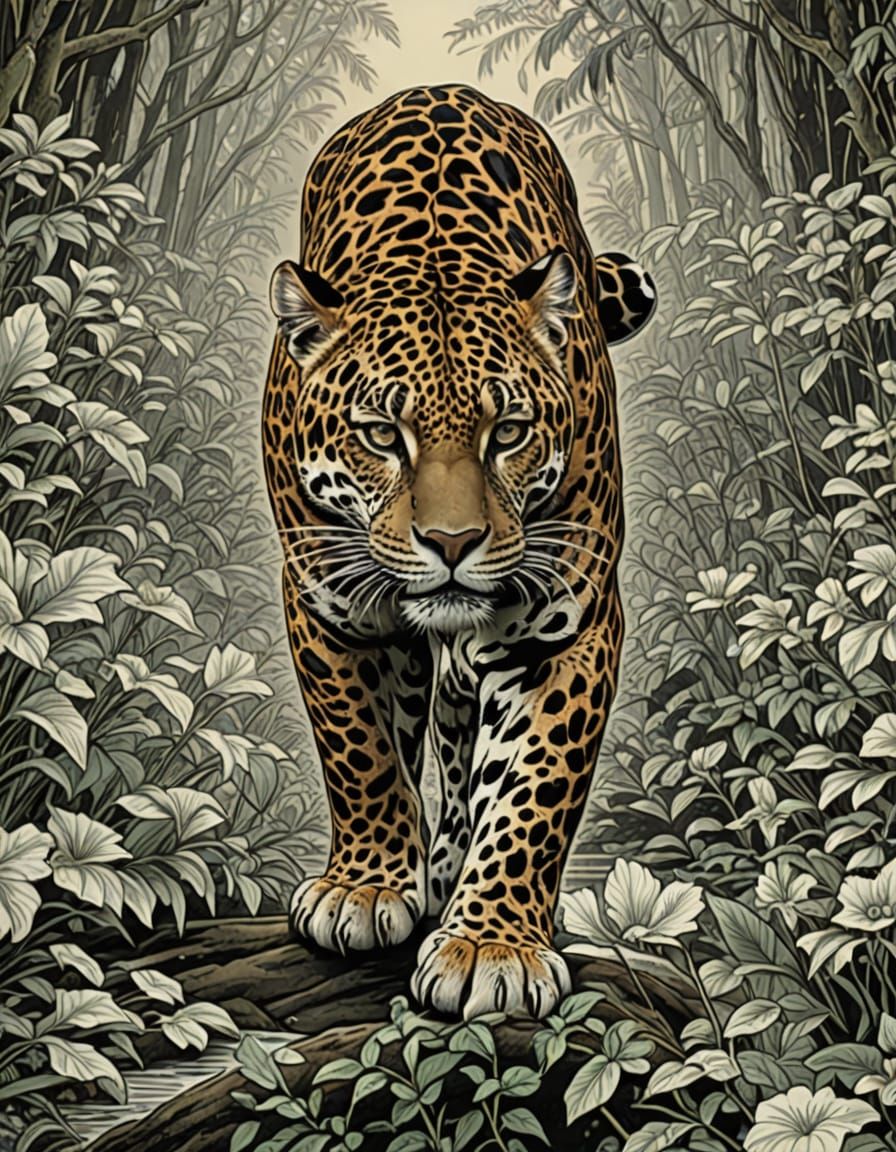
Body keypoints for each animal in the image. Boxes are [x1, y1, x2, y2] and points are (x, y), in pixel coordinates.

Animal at [263, 84, 656, 1020]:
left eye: (506, 431)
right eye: (381, 433)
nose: (451, 543)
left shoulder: (565, 623)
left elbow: (536, 785)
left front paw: (492, 943)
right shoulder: (329, 603)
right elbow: (358, 747)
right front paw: (365, 887)